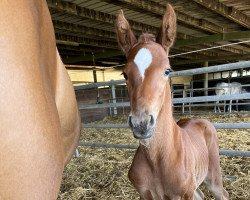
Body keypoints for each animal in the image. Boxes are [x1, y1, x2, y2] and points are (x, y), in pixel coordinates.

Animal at [115, 3, 229, 199]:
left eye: (167, 70)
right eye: (125, 74)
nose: (141, 124)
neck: (157, 160)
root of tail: (201, 120)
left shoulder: (183, 194)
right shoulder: (145, 194)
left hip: (212, 176)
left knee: (222, 193)